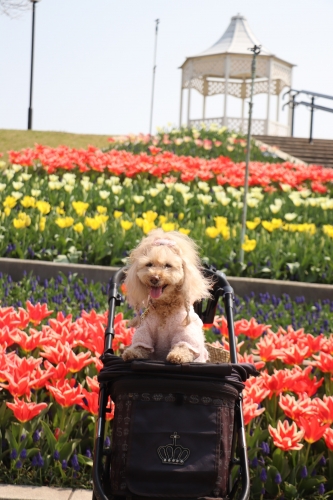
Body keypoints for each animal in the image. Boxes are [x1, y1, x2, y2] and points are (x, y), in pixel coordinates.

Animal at [121, 228, 210, 364]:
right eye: (149, 264)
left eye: (168, 265)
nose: (154, 278)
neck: (165, 306)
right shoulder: (145, 329)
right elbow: (141, 345)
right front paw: (131, 353)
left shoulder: (186, 331)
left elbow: (184, 345)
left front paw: (177, 356)